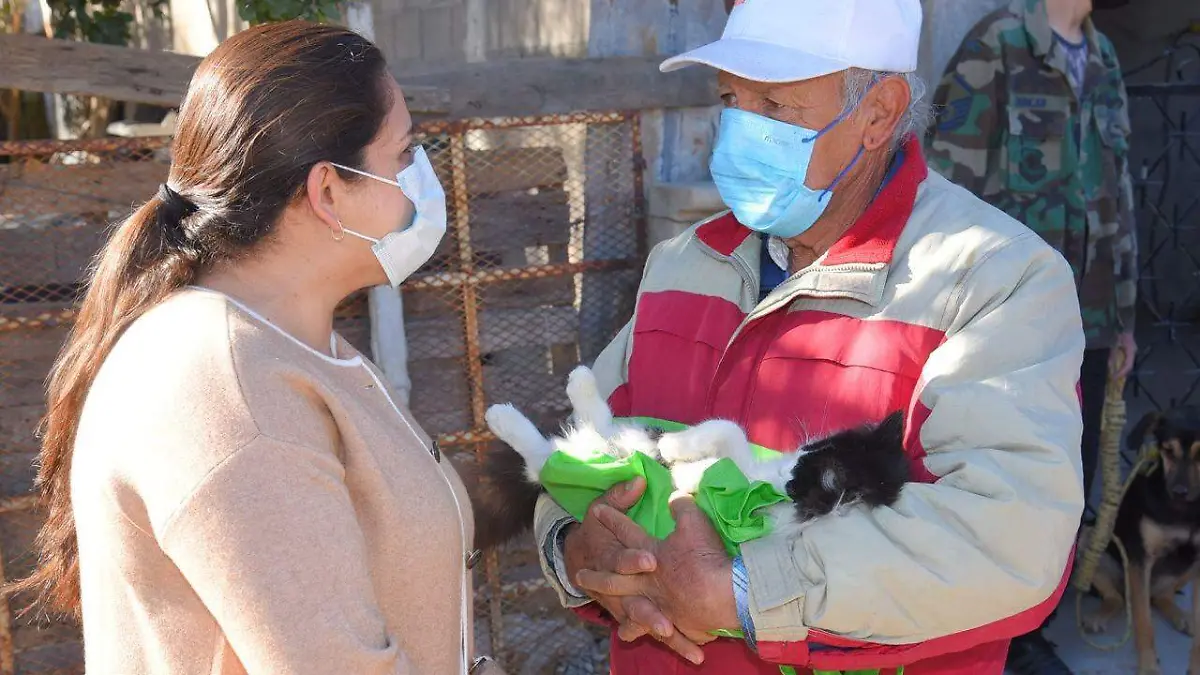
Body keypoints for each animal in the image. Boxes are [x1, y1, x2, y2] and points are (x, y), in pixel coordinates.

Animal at [468, 365, 907, 550]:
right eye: (812, 449)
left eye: (806, 469)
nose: (789, 464)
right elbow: (728, 429)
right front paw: (678, 447)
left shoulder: (746, 502)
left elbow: (728, 444)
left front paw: (679, 456)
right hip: (615, 437)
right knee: (600, 424)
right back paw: (582, 385)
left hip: (581, 469)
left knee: (539, 459)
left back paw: (502, 416)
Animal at [1084, 403, 1200, 672]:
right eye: (1167, 450)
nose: (1179, 492)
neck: (1186, 511)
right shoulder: (1141, 559)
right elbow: (1143, 622)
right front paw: (1148, 667)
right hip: (1090, 538)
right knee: (1118, 599)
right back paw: (1099, 615)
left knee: (1162, 595)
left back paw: (1180, 616)